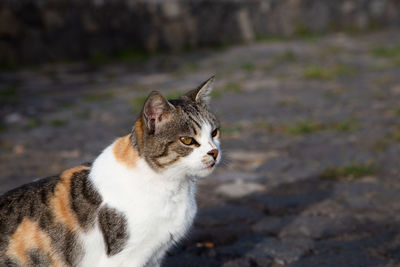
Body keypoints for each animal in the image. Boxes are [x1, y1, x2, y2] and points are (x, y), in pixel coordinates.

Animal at [0, 76, 222, 266]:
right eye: (187, 140)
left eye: (214, 132)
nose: (214, 152)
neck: (172, 185)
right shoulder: (125, 258)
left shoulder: (155, 256)